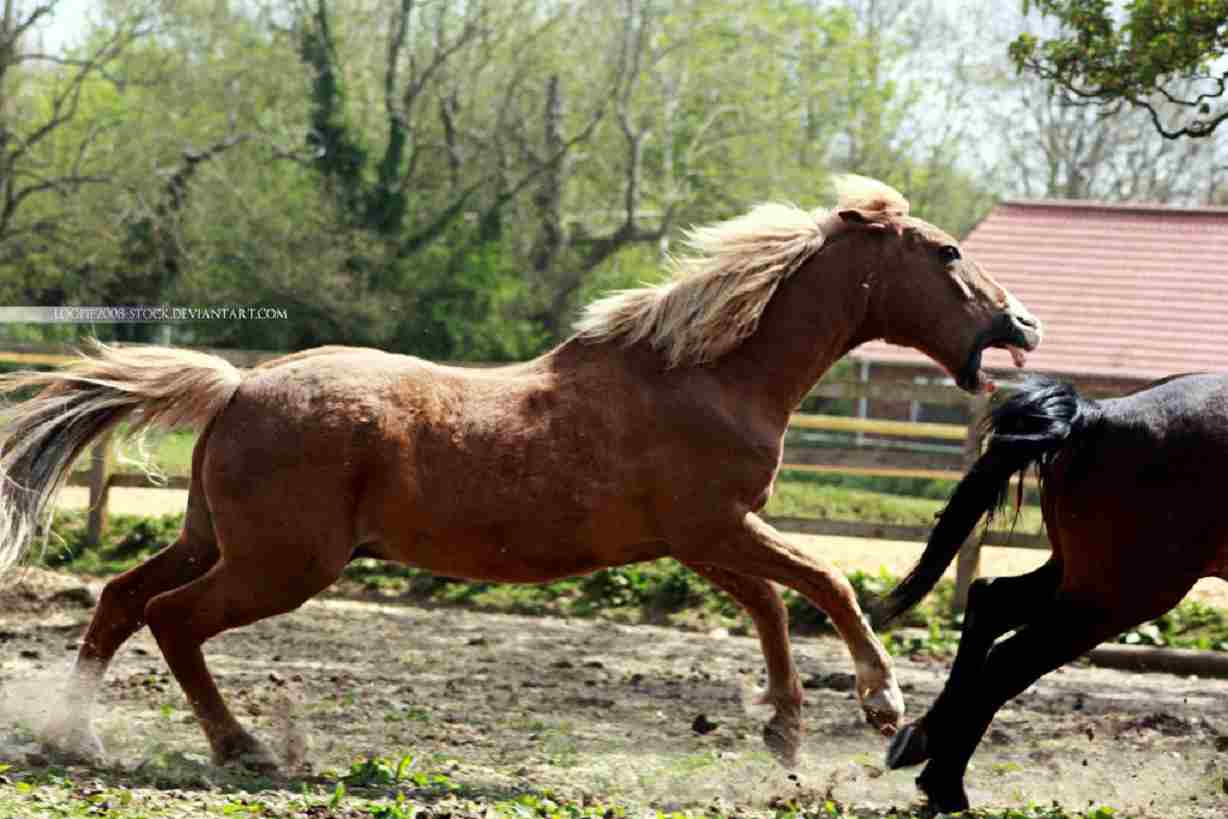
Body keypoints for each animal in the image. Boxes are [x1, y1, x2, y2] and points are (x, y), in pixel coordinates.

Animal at [0, 175, 1040, 772]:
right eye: (948, 252)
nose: (1023, 322)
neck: (708, 374)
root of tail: (237, 385)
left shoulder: (698, 540)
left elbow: (771, 605)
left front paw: (782, 728)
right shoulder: (715, 527)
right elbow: (824, 583)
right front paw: (880, 701)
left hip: (212, 538)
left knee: (120, 598)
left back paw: (76, 736)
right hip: (281, 566)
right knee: (171, 617)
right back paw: (245, 746)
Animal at [876, 374, 1228, 812]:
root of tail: (1098, 415)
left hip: (1075, 575)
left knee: (991, 601)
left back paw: (923, 741)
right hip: (1118, 595)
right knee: (1009, 659)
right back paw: (944, 783)